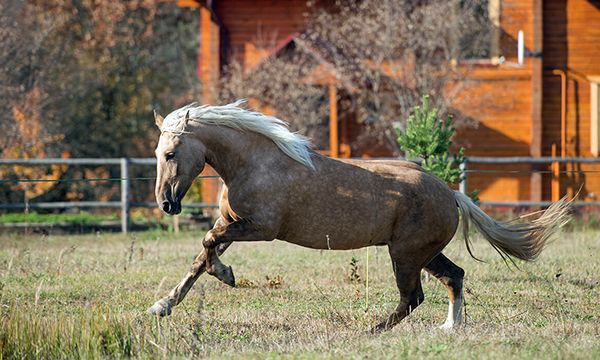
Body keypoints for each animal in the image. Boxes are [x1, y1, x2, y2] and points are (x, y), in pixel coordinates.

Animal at [148, 100, 568, 330]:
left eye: (171, 153)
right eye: (157, 153)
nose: (167, 204)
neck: (255, 163)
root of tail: (451, 194)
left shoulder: (260, 228)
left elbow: (208, 245)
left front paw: (227, 276)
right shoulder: (230, 223)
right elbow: (200, 257)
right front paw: (162, 306)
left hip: (405, 255)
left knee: (413, 297)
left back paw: (373, 330)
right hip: (424, 253)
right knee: (455, 276)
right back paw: (450, 327)